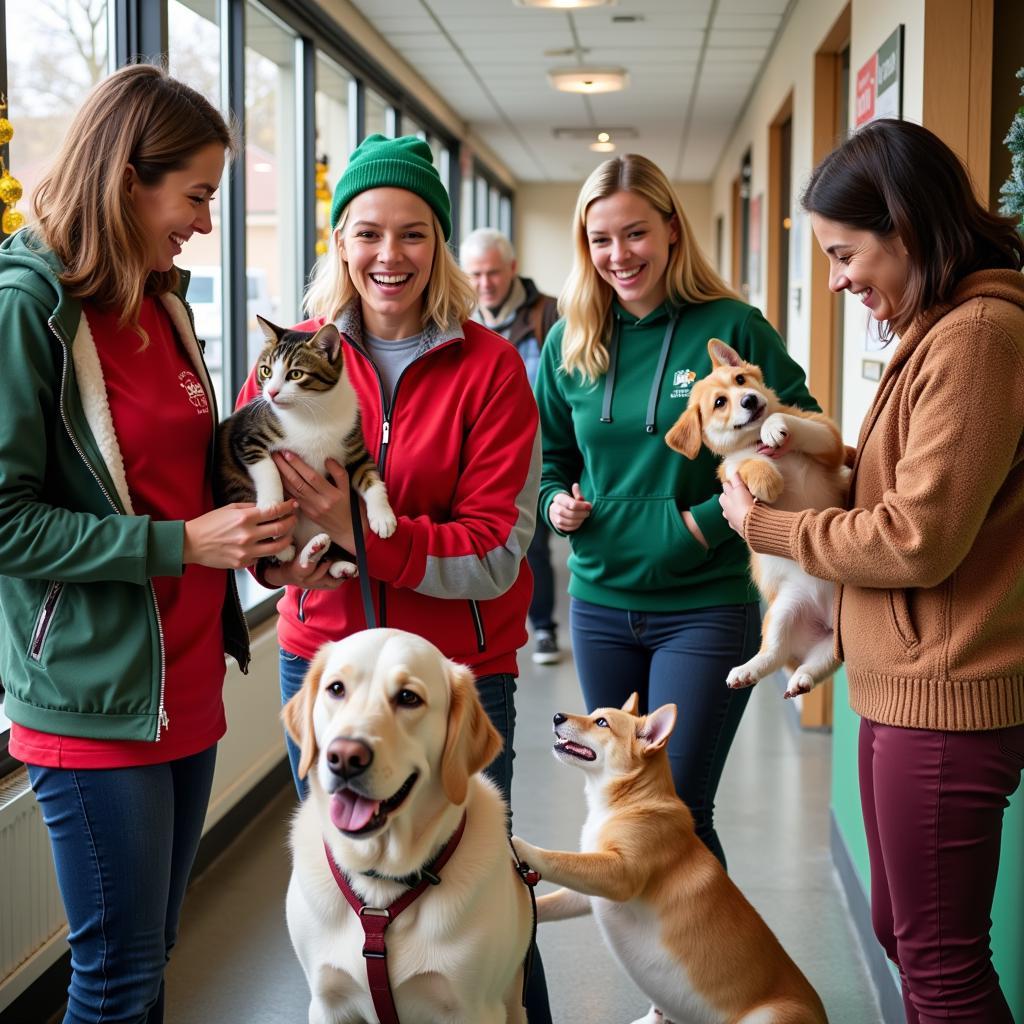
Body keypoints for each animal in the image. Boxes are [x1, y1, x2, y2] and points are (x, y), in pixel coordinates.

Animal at [214, 315, 393, 577]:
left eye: (296, 374)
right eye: (266, 371)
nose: (271, 392)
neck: (312, 412)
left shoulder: (353, 445)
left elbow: (370, 477)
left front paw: (383, 515)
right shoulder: (245, 436)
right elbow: (266, 467)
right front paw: (272, 502)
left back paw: (325, 556)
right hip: (237, 487)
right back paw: (283, 548)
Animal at [282, 626, 532, 1019]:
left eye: (408, 697)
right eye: (336, 689)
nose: (344, 757)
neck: (381, 888)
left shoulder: (474, 1009)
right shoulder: (326, 1003)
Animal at [509, 696, 823, 1024]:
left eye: (602, 723)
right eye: (594, 715)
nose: (557, 717)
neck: (631, 801)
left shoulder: (619, 874)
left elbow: (559, 859)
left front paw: (521, 846)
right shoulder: (589, 893)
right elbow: (553, 899)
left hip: (766, 1016)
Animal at [663, 339, 847, 700]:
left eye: (741, 380)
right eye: (720, 402)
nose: (748, 400)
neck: (756, 441)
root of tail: (825, 620)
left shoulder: (827, 436)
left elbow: (786, 417)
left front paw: (774, 425)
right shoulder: (731, 471)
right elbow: (743, 463)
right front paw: (767, 477)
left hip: (837, 634)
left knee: (817, 663)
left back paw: (798, 677)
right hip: (782, 612)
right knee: (773, 654)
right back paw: (751, 671)